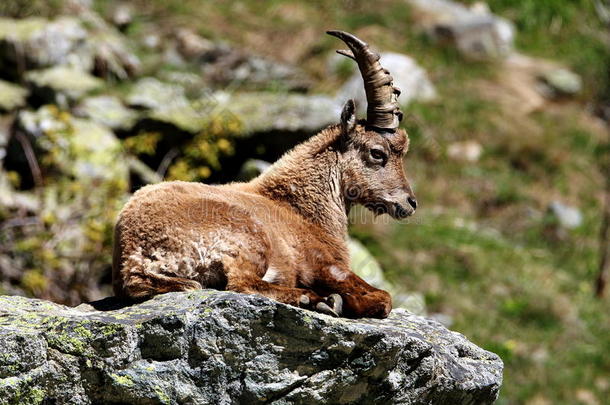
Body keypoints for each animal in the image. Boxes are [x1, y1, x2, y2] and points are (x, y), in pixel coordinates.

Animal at [111, 30, 416, 318]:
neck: (301, 207)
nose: (410, 203)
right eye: (377, 153)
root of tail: (134, 259)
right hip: (247, 235)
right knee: (242, 283)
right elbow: (382, 297)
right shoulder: (322, 263)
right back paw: (317, 300)